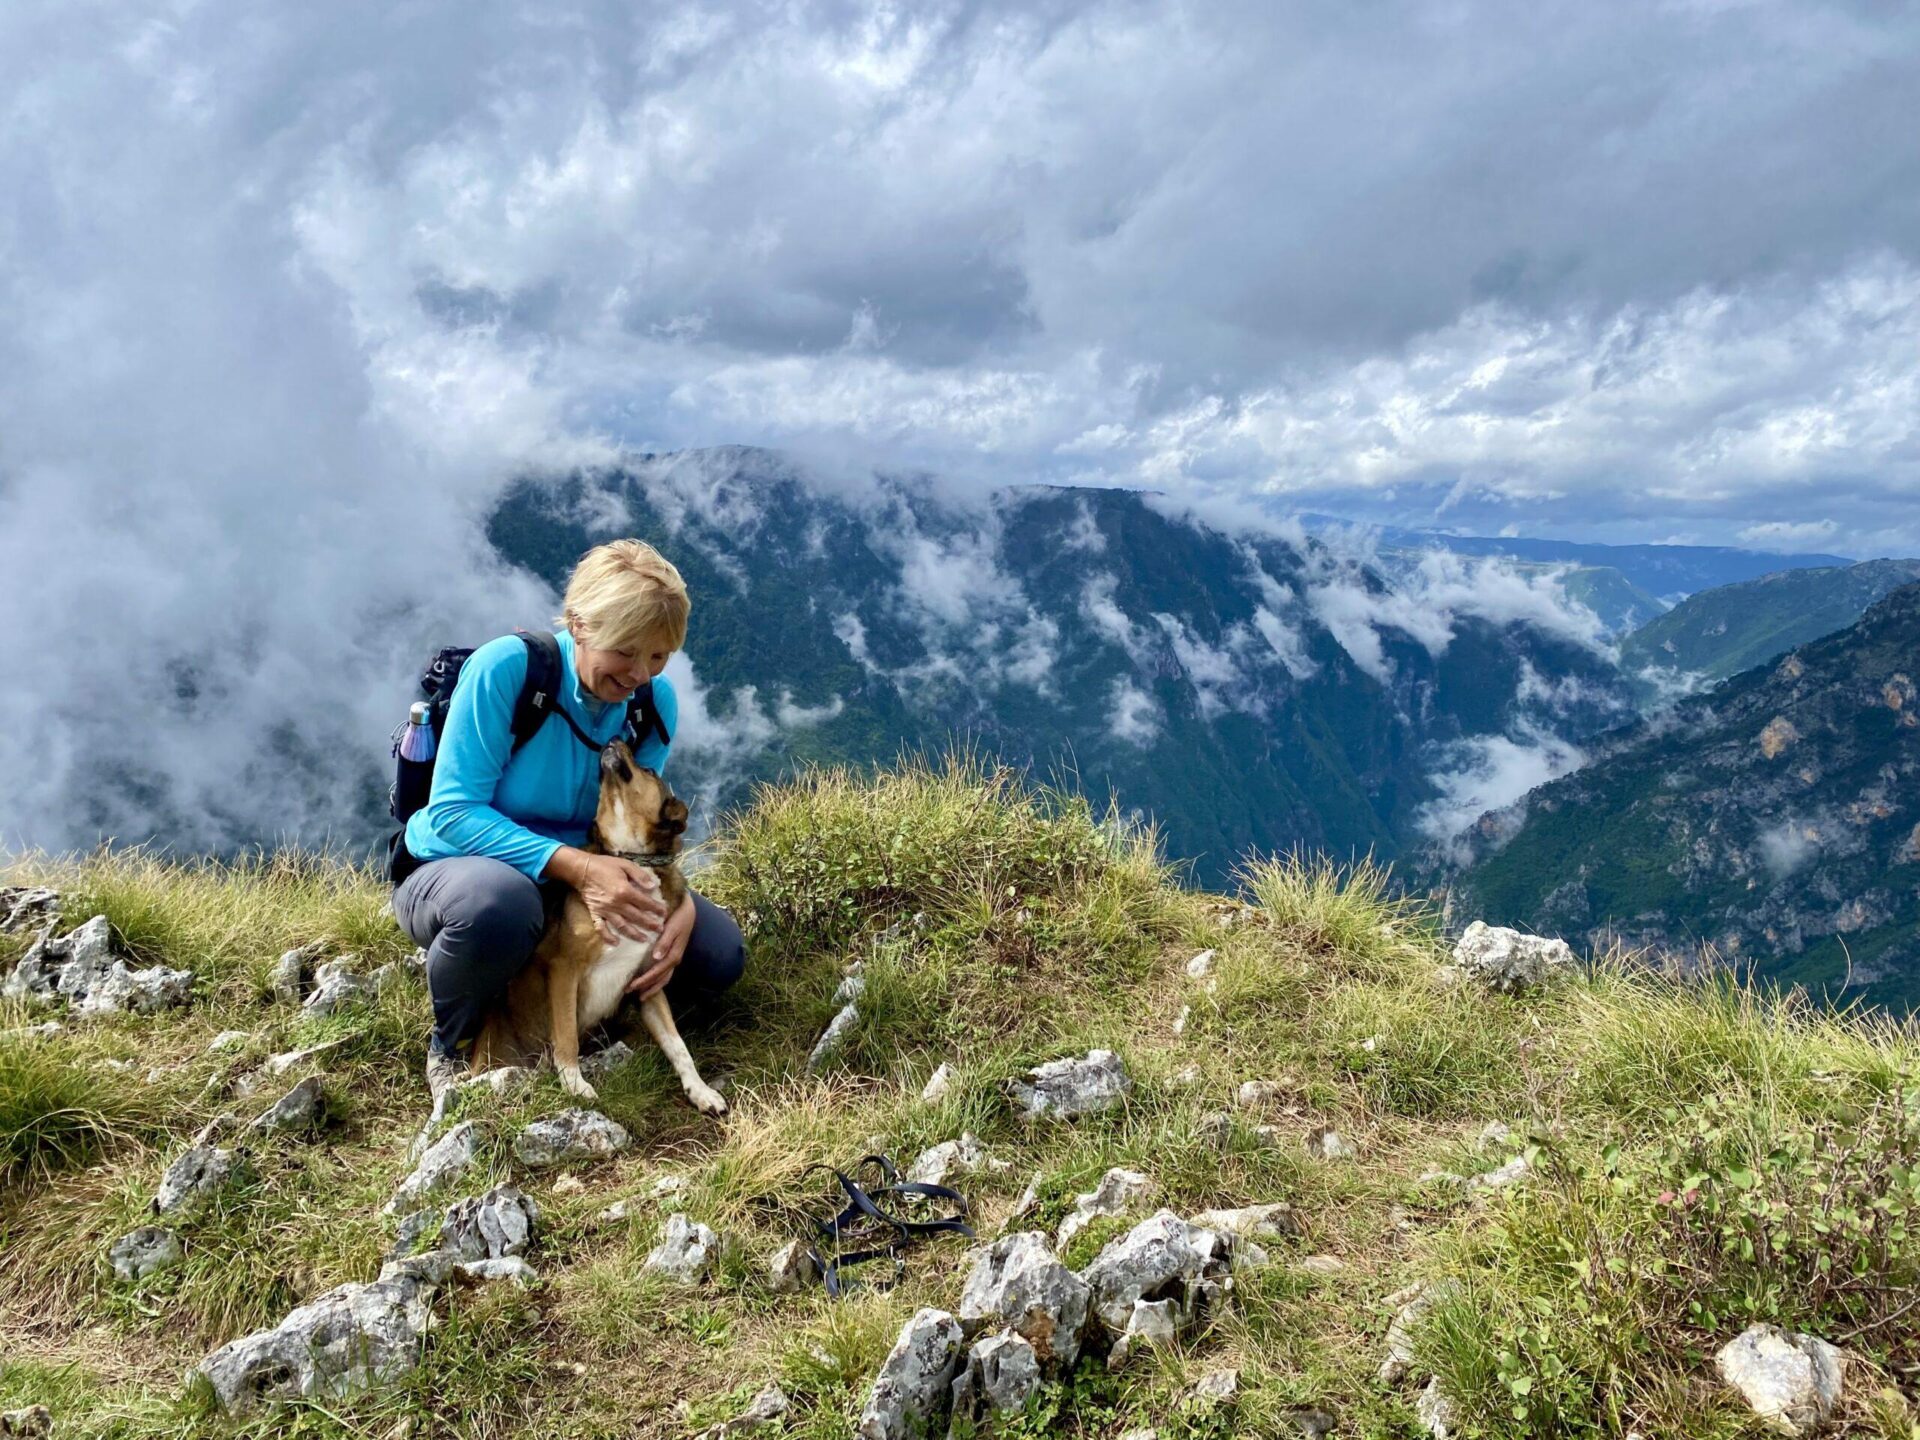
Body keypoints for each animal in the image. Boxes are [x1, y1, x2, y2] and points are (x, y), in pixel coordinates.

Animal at [470, 744, 725, 1113]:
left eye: (649, 769)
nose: (616, 739)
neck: (634, 858)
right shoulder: (564, 969)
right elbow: (566, 1038)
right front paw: (576, 1086)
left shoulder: (648, 982)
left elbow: (678, 1045)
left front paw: (700, 1090)